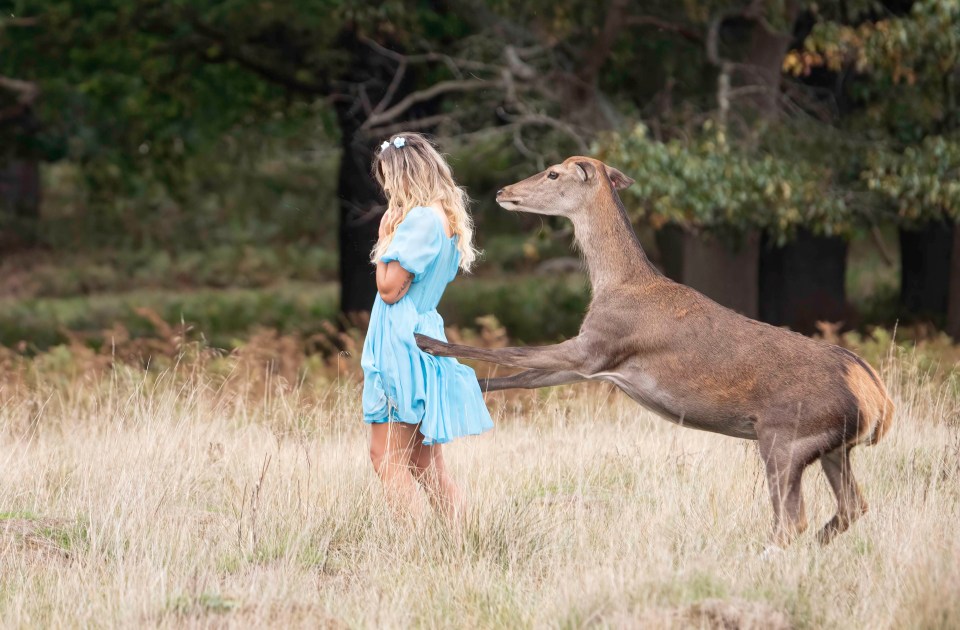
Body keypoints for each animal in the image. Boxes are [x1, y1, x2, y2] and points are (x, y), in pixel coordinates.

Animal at [416, 157, 896, 548]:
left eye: (553, 173)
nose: (503, 191)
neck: (616, 284)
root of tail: (878, 399)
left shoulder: (597, 345)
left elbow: (513, 351)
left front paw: (428, 343)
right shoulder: (591, 362)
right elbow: (517, 376)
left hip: (785, 435)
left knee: (791, 520)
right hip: (832, 447)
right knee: (852, 507)